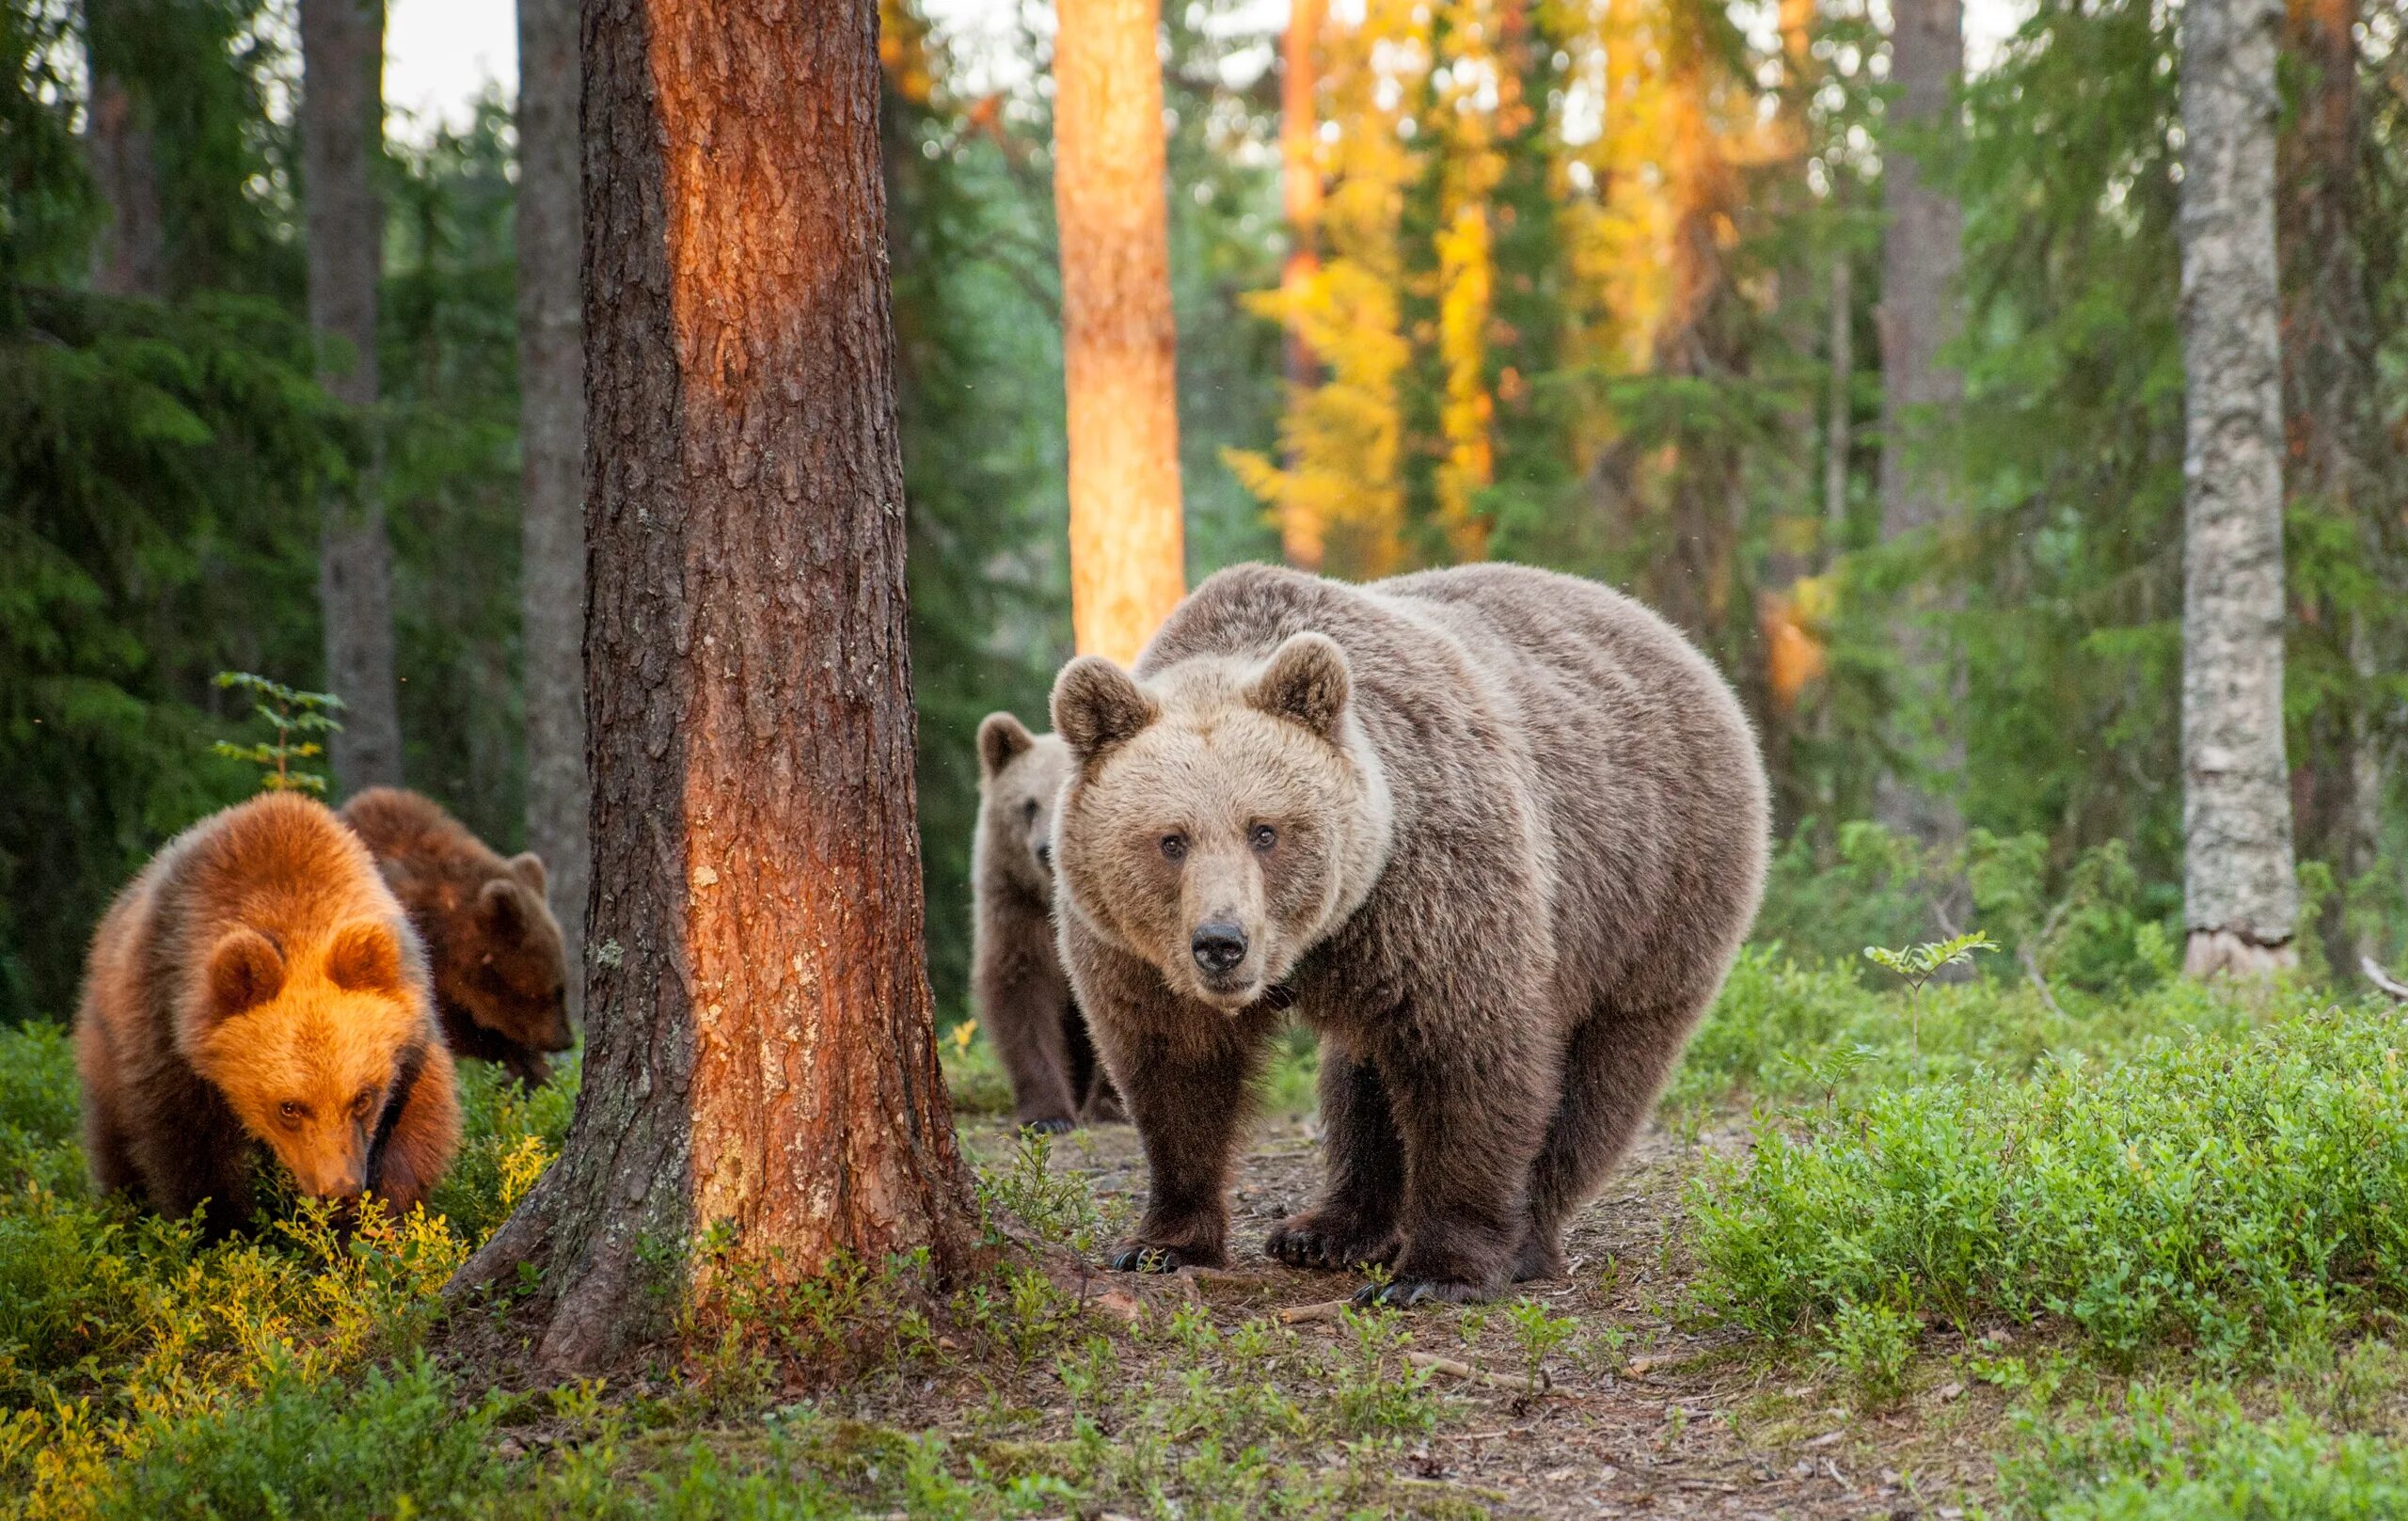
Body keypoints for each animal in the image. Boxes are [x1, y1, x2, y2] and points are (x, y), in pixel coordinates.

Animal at [1054, 565, 1772, 1299]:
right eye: (1171, 839)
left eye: (1265, 830)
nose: (1222, 943)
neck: (1318, 941)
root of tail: (1674, 638)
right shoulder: (1136, 954)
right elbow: (1176, 1073)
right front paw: (1162, 1242)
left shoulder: (1430, 887)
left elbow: (1468, 1058)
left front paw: (1436, 1271)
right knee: (1362, 1076)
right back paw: (1326, 1231)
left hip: (1648, 894)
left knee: (1603, 1078)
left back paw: (1523, 1240)